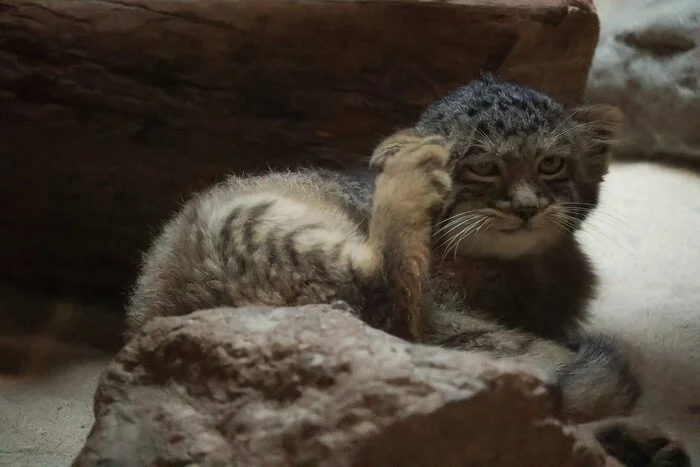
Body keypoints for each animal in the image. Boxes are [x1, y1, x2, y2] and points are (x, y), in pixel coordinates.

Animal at [129, 75, 692, 466]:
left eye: (550, 165)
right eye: (483, 167)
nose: (527, 208)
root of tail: (153, 316)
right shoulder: (453, 322)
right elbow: (546, 372)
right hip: (247, 224)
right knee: (386, 294)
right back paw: (407, 174)